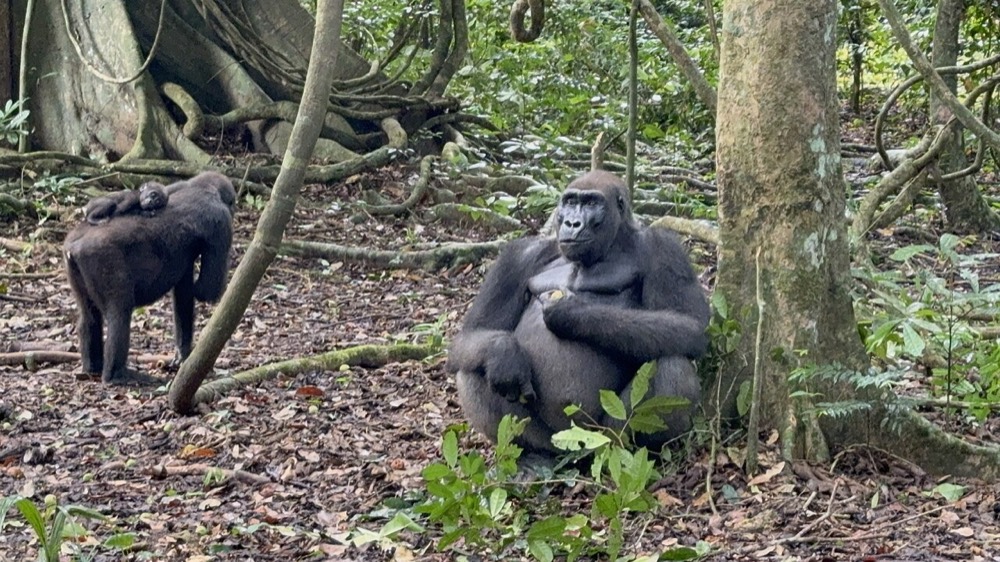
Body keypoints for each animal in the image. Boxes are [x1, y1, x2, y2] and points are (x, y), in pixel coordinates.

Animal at [64, 172, 236, 384]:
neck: (205, 188)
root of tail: (74, 246)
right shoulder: (221, 222)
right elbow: (206, 290)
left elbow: (184, 296)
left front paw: (183, 356)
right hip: (100, 256)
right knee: (119, 314)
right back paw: (118, 375)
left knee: (89, 316)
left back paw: (92, 367)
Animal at [447, 170, 710, 454]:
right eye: (571, 202)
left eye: (592, 203)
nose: (572, 223)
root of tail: (576, 448)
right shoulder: (518, 256)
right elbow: (475, 333)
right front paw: (505, 353)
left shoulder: (664, 247)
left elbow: (691, 325)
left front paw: (573, 314)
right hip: (553, 440)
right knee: (474, 368)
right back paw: (532, 454)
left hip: (603, 436)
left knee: (674, 364)